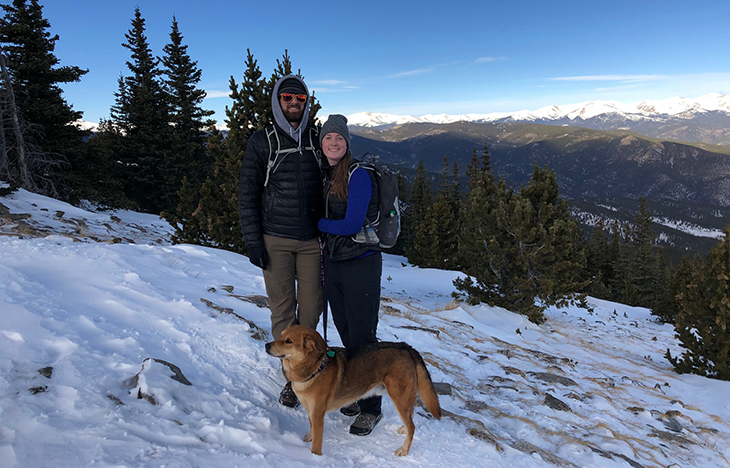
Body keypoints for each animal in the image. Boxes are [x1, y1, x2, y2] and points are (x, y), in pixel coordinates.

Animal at [264, 326, 440, 458]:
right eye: (281, 336)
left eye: (288, 341)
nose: (266, 345)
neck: (315, 369)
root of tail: (406, 346)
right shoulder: (310, 410)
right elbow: (311, 427)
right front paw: (309, 436)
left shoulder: (318, 414)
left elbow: (317, 443)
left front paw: (314, 458)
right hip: (403, 398)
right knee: (410, 419)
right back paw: (404, 429)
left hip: (399, 397)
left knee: (412, 426)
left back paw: (404, 450)